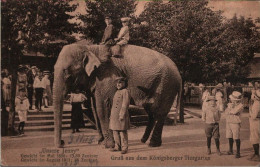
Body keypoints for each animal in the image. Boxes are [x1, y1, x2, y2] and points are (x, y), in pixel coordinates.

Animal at [53, 43, 182, 147]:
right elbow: (95, 107)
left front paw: (109, 146)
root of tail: (179, 75)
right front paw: (101, 142)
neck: (89, 48)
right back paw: (143, 140)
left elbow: (102, 106)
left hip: (166, 86)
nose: (62, 143)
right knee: (151, 112)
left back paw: (153, 144)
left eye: (67, 75)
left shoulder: (107, 76)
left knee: (159, 113)